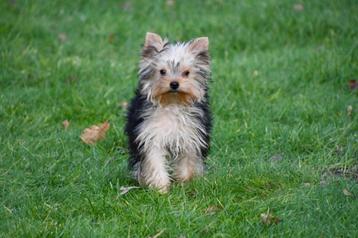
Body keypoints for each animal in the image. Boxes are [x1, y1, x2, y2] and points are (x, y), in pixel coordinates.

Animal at [125, 31, 211, 192]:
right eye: (162, 71)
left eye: (186, 73)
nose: (174, 83)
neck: (172, 103)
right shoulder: (150, 136)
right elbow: (154, 161)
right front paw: (161, 188)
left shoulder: (190, 136)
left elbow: (187, 161)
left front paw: (185, 183)